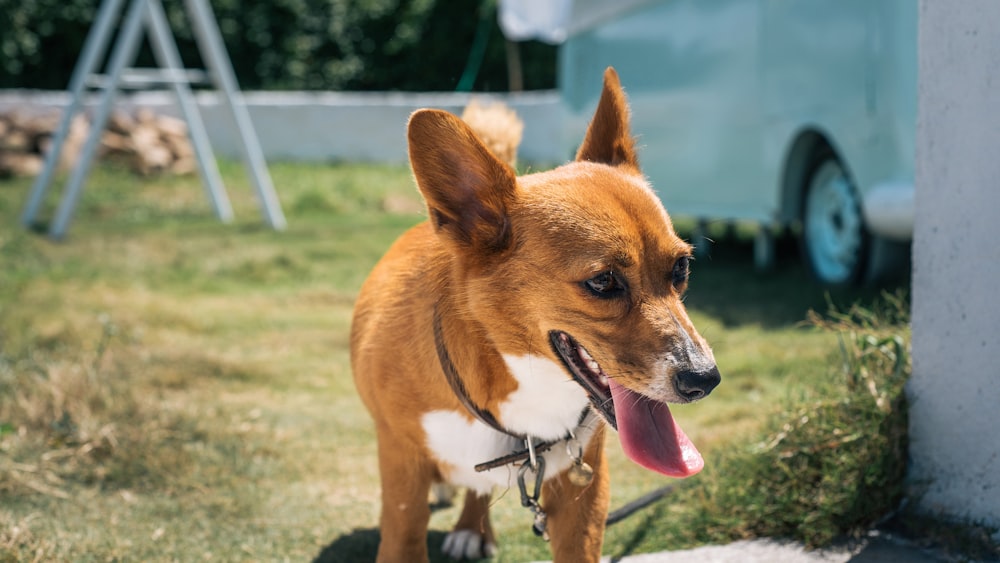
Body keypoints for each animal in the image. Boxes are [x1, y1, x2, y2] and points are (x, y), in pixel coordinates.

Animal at [352, 68, 720, 560]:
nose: (705, 380)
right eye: (603, 281)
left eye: (681, 268)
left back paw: (471, 527)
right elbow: (404, 532)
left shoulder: (582, 495)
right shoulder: (401, 476)